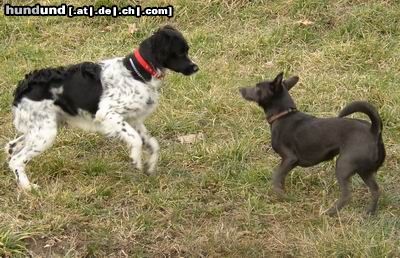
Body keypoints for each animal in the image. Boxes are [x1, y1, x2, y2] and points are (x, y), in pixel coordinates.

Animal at [5, 25, 199, 189]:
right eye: (180, 52)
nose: (195, 68)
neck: (136, 73)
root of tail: (24, 85)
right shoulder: (108, 114)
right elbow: (136, 139)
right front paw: (136, 159)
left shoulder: (134, 120)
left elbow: (153, 144)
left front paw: (150, 166)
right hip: (46, 133)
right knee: (16, 160)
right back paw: (28, 188)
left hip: (41, 129)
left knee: (12, 147)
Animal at [239, 72, 386, 216]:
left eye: (257, 87)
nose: (240, 89)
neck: (283, 115)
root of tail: (373, 130)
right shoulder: (287, 163)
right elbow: (281, 178)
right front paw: (282, 192)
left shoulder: (290, 159)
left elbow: (276, 177)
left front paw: (282, 195)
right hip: (365, 172)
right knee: (375, 190)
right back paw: (370, 212)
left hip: (343, 166)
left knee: (346, 195)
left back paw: (330, 212)